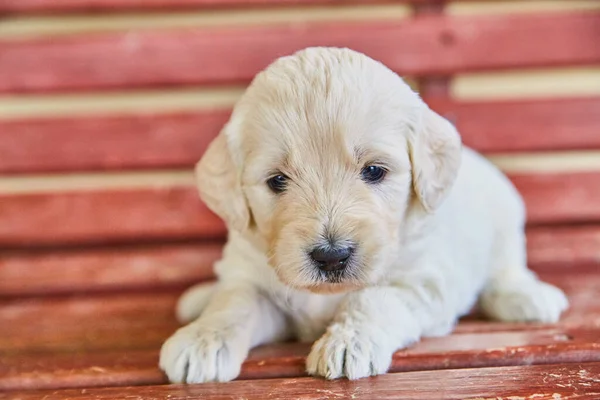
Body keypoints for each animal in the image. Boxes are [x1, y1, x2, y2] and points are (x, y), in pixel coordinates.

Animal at [158, 47, 568, 384]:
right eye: (277, 180)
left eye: (374, 171)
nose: (331, 256)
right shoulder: (251, 277)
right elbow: (234, 302)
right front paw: (203, 339)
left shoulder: (424, 283)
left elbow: (374, 299)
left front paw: (348, 342)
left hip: (505, 219)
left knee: (505, 271)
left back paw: (529, 298)